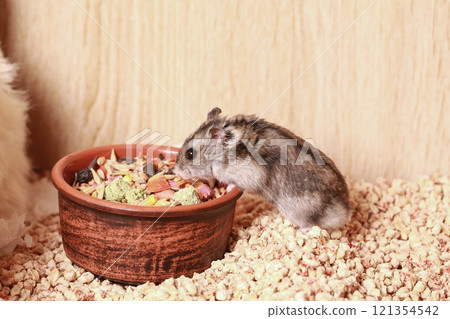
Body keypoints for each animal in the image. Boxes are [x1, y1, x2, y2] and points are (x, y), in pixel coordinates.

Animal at [173, 107, 352, 230]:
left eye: (190, 154)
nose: (175, 171)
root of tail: (345, 212)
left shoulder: (251, 174)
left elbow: (236, 184)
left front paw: (229, 186)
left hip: (299, 212)